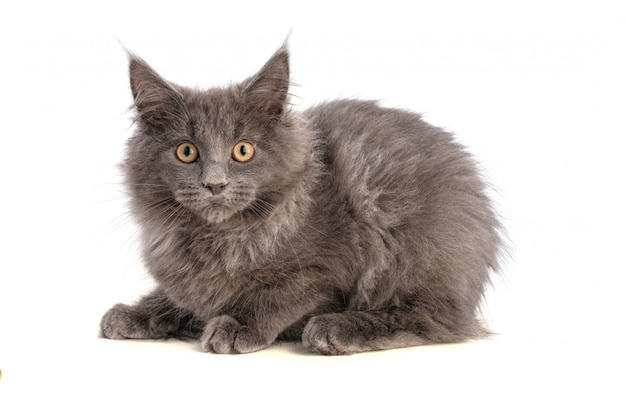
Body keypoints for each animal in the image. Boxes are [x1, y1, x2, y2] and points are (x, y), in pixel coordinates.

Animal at [101, 44, 502, 352]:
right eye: (186, 152)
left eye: (243, 150)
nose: (215, 185)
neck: (220, 238)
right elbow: (174, 297)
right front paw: (135, 314)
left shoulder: (326, 267)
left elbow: (280, 295)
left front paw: (238, 325)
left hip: (410, 250)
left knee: (433, 319)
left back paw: (334, 329)